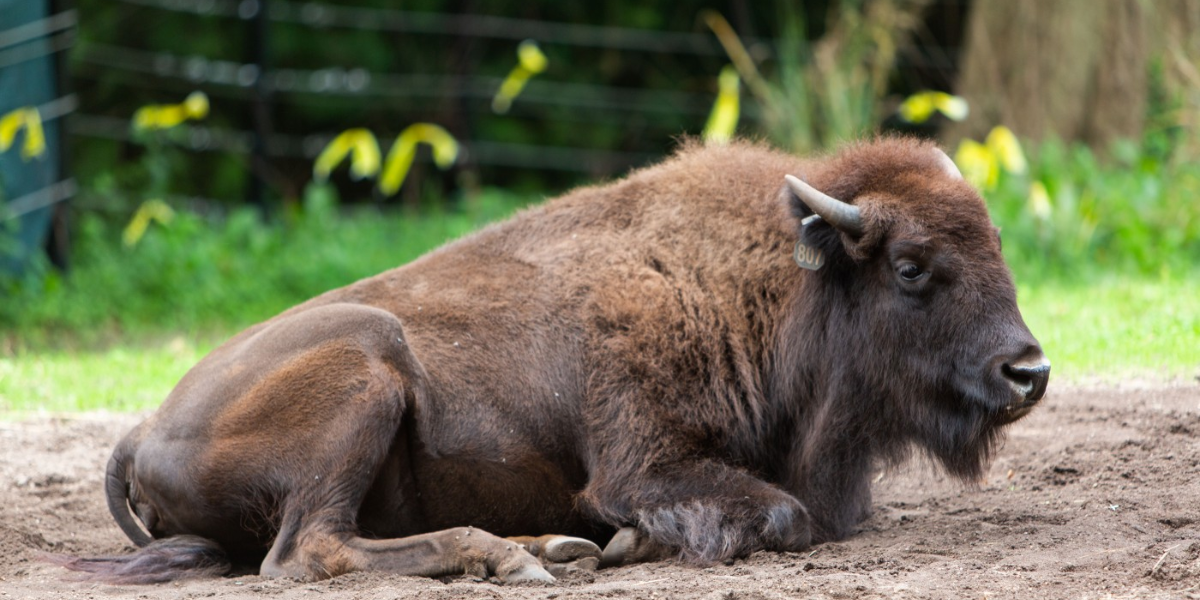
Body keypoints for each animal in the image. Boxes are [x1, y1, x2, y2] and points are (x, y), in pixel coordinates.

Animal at [60, 137, 1046, 580]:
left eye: (997, 245)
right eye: (912, 266)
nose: (1027, 372)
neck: (767, 286)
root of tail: (143, 429)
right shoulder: (642, 461)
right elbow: (778, 514)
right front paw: (635, 540)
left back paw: (553, 547)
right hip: (367, 371)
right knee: (310, 550)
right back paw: (520, 556)